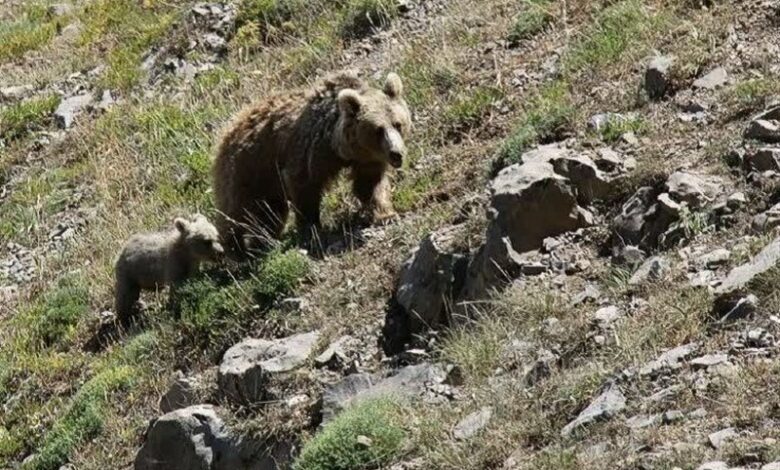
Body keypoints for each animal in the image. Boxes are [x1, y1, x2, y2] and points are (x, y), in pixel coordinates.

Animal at [210, 70, 412, 252]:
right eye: (378, 130)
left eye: (398, 124)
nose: (397, 153)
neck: (340, 147)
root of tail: (230, 127)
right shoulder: (311, 148)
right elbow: (304, 184)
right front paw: (312, 230)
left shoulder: (366, 159)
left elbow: (369, 185)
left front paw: (386, 214)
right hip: (245, 168)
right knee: (236, 212)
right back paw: (235, 249)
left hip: (266, 183)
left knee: (270, 213)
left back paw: (263, 243)